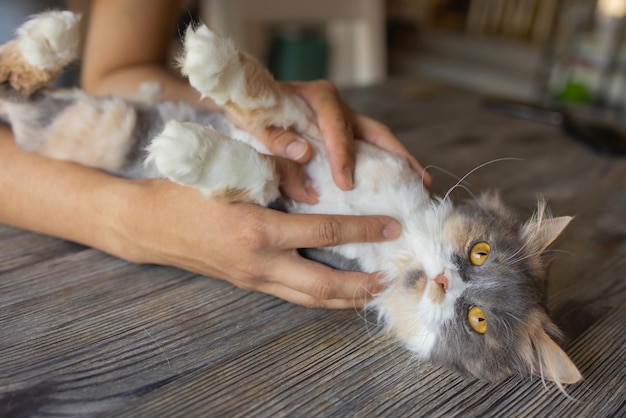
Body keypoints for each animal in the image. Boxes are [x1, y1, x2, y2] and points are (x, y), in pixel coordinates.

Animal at [0, 10, 580, 388]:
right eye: (480, 252)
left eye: (476, 319)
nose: (442, 281)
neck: (400, 239)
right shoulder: (325, 138)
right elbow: (273, 98)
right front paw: (210, 60)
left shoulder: (285, 217)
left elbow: (260, 174)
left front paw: (181, 148)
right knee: (18, 83)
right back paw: (57, 32)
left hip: (101, 126)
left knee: (22, 97)